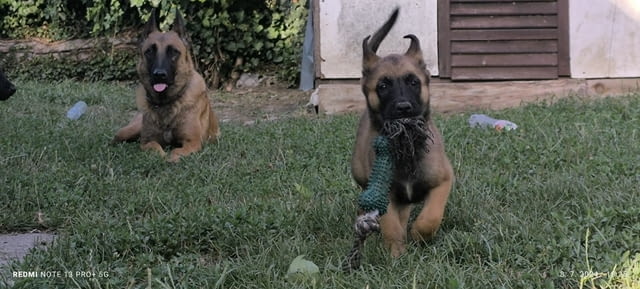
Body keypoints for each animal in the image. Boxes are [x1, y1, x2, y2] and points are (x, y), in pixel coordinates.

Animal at [111, 10, 219, 161]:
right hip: (128, 131)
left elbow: (177, 151)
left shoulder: (192, 142)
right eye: (149, 51)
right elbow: (154, 146)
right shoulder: (146, 141)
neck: (166, 102)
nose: (159, 75)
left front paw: (171, 158)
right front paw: (161, 155)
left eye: (174, 51)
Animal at [350, 8, 456, 256]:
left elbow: (431, 216)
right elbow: (391, 224)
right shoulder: (385, 193)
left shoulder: (443, 181)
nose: (403, 108)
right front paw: (396, 252)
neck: (407, 148)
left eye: (413, 82)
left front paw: (419, 235)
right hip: (361, 174)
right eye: (383, 86)